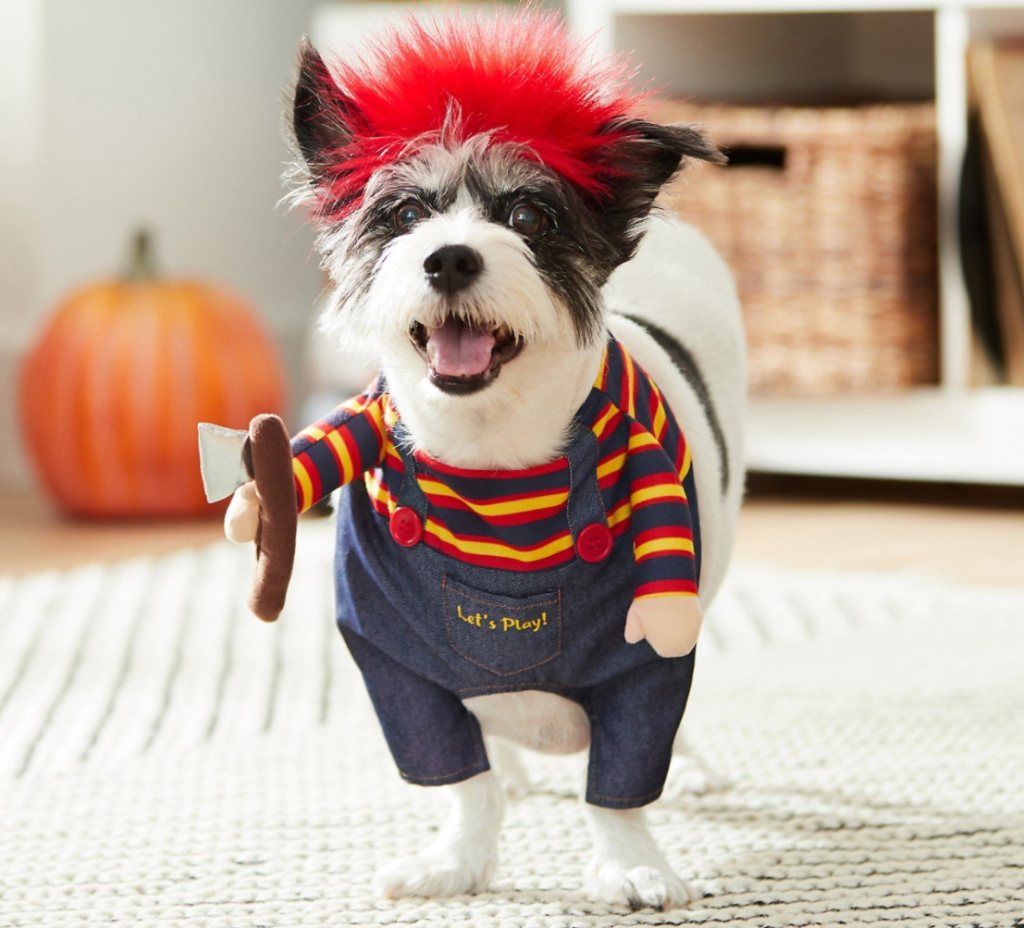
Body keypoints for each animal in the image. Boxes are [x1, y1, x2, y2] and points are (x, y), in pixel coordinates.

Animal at [228, 10, 749, 909]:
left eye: (532, 218)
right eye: (404, 215)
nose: (449, 257)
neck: (493, 466)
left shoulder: (643, 661)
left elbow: (622, 778)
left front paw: (632, 862)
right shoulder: (397, 665)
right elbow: (462, 778)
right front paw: (458, 859)